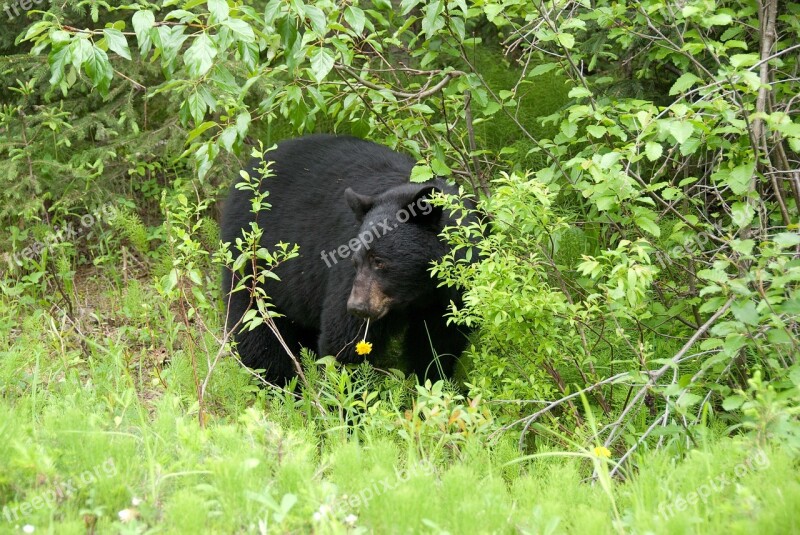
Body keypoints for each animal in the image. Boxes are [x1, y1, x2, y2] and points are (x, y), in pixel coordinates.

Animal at [220, 134, 468, 386]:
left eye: (380, 261)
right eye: (356, 262)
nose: (357, 306)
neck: (419, 291)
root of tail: (248, 169)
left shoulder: (448, 295)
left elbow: (438, 344)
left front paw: (433, 380)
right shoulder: (348, 273)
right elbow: (346, 339)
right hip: (251, 260)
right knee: (256, 323)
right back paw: (274, 382)